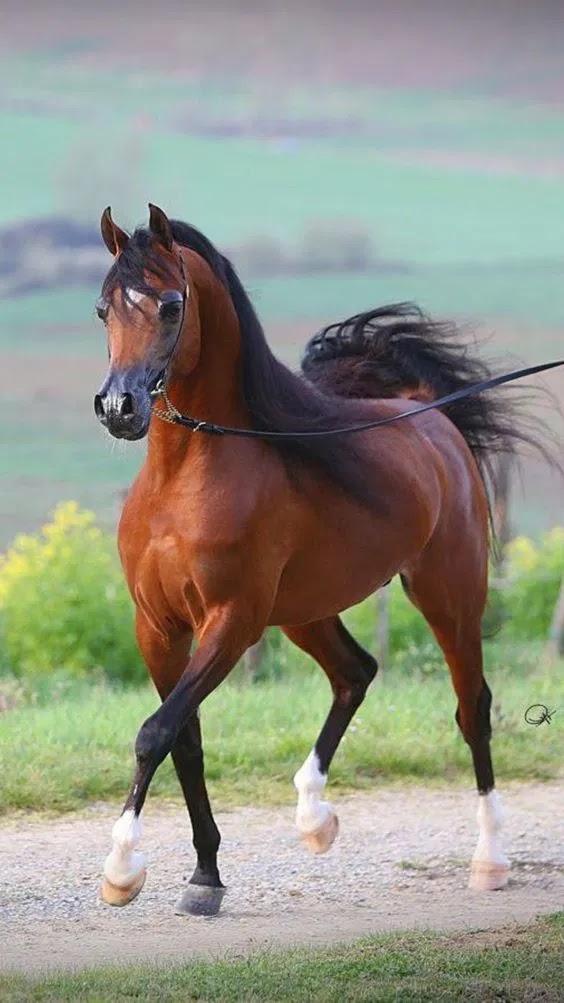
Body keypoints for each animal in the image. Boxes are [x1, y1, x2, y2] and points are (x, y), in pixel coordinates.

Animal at [93, 203, 541, 916]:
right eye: (104, 308)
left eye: (169, 305)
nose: (119, 408)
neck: (183, 480)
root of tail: (427, 414)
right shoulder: (158, 627)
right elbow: (184, 739)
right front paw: (204, 877)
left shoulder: (231, 622)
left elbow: (155, 733)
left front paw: (122, 868)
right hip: (304, 612)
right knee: (356, 672)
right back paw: (313, 817)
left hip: (448, 595)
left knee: (473, 708)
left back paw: (490, 859)